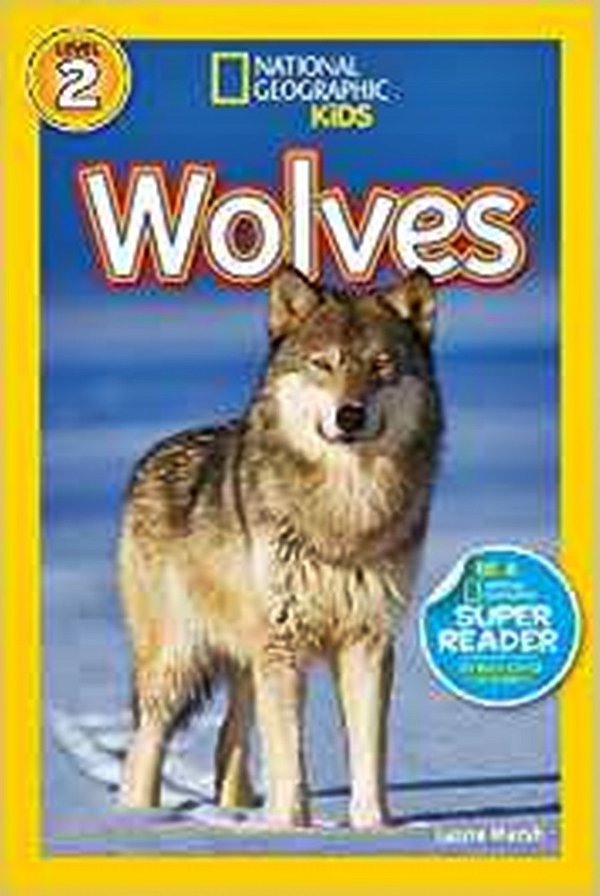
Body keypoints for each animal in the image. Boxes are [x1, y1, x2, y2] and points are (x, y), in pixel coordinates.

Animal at [118, 266, 443, 829]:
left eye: (381, 365)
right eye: (323, 364)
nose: (350, 415)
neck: (344, 510)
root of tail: (150, 457)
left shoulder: (367, 641)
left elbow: (369, 753)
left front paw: (373, 828)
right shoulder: (284, 645)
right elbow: (290, 757)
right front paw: (291, 828)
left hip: (247, 661)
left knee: (229, 739)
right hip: (179, 660)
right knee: (145, 744)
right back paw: (137, 820)